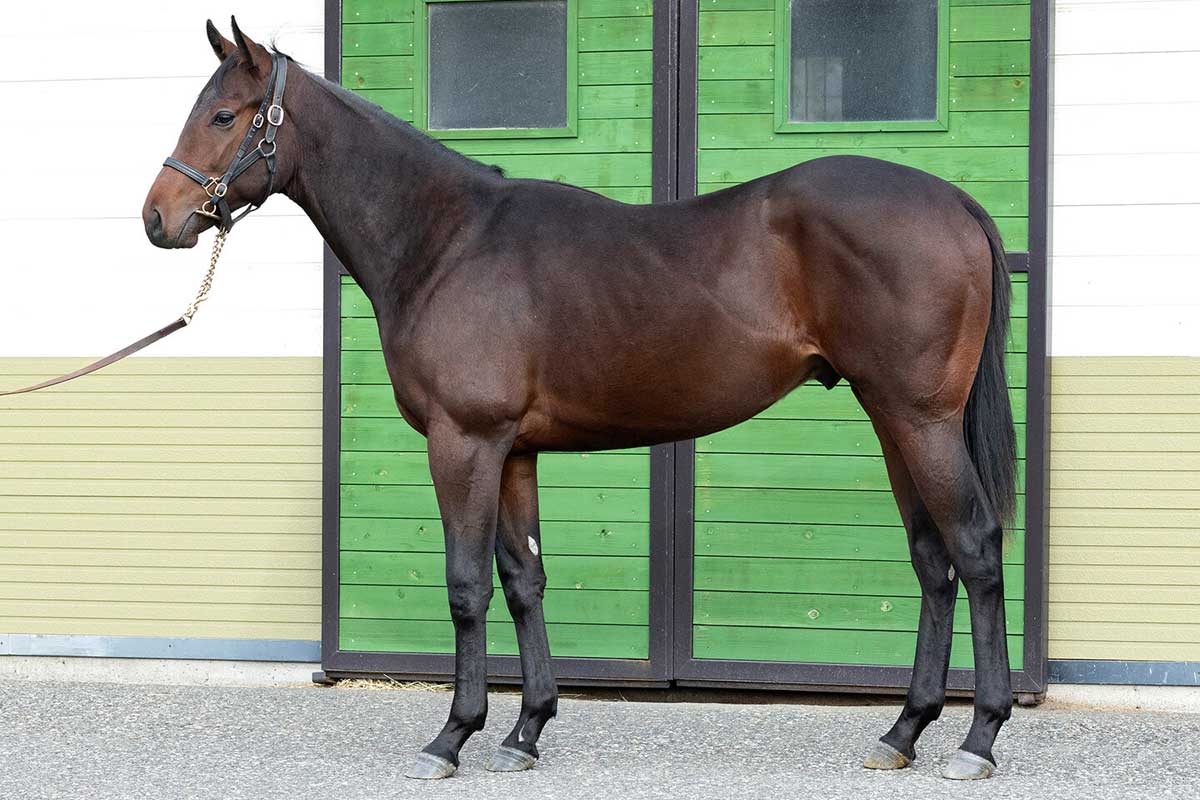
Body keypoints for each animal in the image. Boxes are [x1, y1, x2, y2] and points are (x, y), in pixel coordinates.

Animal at [143, 18, 1018, 782]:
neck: (447, 242)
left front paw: (452, 737)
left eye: (223, 114)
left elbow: (466, 585)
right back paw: (902, 731)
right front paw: (524, 731)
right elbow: (522, 577)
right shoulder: (513, 451)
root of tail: (955, 203)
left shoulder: (463, 442)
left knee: (974, 547)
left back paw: (978, 739)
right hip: (892, 421)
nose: (159, 218)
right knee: (932, 560)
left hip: (921, 420)